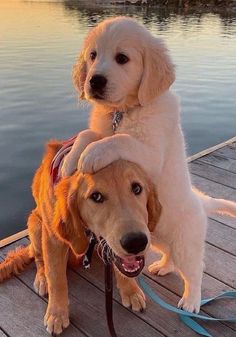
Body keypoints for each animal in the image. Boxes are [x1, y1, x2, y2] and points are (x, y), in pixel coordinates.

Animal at [0, 140, 160, 334]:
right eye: (96, 196)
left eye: (137, 188)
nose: (136, 242)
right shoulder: (52, 238)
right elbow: (56, 278)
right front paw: (57, 314)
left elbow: (121, 267)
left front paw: (130, 291)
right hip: (35, 224)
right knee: (39, 259)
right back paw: (42, 278)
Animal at [61, 16, 236, 312]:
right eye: (93, 56)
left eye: (122, 58)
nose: (94, 81)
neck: (123, 111)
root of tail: (201, 201)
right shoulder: (103, 127)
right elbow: (89, 134)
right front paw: (71, 159)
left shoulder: (152, 154)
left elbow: (120, 139)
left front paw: (90, 155)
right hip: (156, 239)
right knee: (171, 257)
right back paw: (163, 267)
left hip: (185, 244)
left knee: (195, 271)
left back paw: (191, 301)